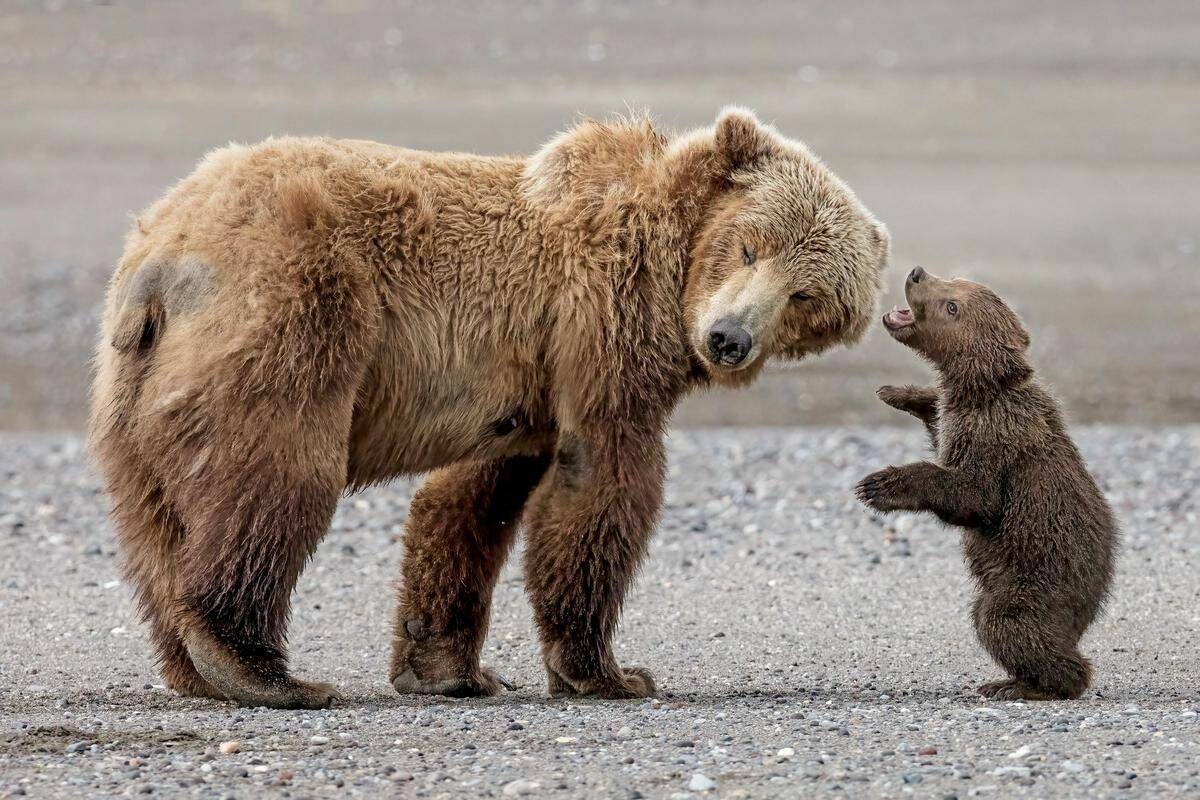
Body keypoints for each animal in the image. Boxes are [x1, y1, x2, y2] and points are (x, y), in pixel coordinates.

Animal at [88, 107, 888, 705]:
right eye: (751, 245)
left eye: (806, 295)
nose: (729, 339)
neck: (672, 258)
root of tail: (165, 256)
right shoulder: (600, 314)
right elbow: (602, 478)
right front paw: (609, 672)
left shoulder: (519, 392)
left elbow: (474, 498)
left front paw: (448, 667)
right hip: (294, 308)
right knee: (279, 470)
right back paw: (260, 669)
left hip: (133, 387)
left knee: (155, 520)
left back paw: (192, 666)